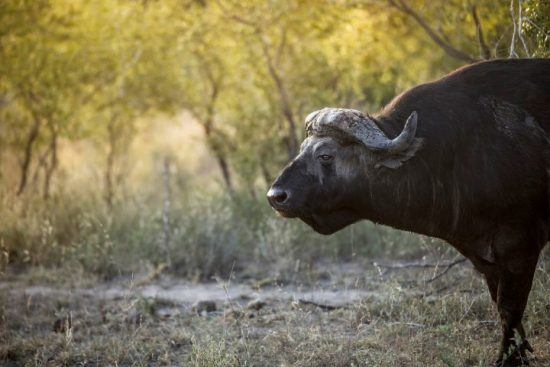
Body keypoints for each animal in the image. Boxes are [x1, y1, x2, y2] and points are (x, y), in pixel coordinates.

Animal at [268, 59, 550, 366]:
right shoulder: (486, 259)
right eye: (302, 150)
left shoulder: (519, 249)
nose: (275, 196)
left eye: (325, 155)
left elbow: (509, 309)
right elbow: (503, 308)